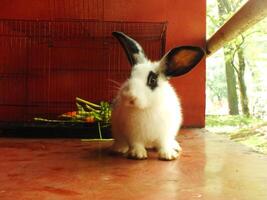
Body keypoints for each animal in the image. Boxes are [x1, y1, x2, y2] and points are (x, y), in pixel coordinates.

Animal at [111, 31, 205, 161]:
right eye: (130, 75)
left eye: (153, 80)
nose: (129, 96)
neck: (146, 108)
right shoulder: (133, 133)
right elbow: (136, 143)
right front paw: (138, 154)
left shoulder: (164, 133)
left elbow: (163, 143)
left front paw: (168, 155)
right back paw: (119, 149)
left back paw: (175, 147)